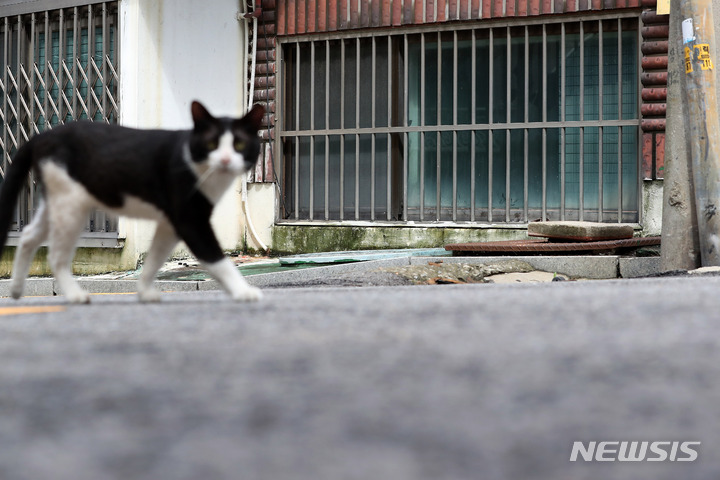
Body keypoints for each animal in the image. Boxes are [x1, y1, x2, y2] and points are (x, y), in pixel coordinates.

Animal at [0, 101, 266, 304]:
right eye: (211, 144)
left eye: (239, 144)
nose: (225, 159)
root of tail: (42, 136)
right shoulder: (190, 221)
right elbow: (217, 259)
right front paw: (243, 292)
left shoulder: (169, 224)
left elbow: (154, 259)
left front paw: (145, 292)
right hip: (70, 206)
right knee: (56, 255)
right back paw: (76, 296)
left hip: (57, 202)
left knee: (29, 235)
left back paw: (16, 290)